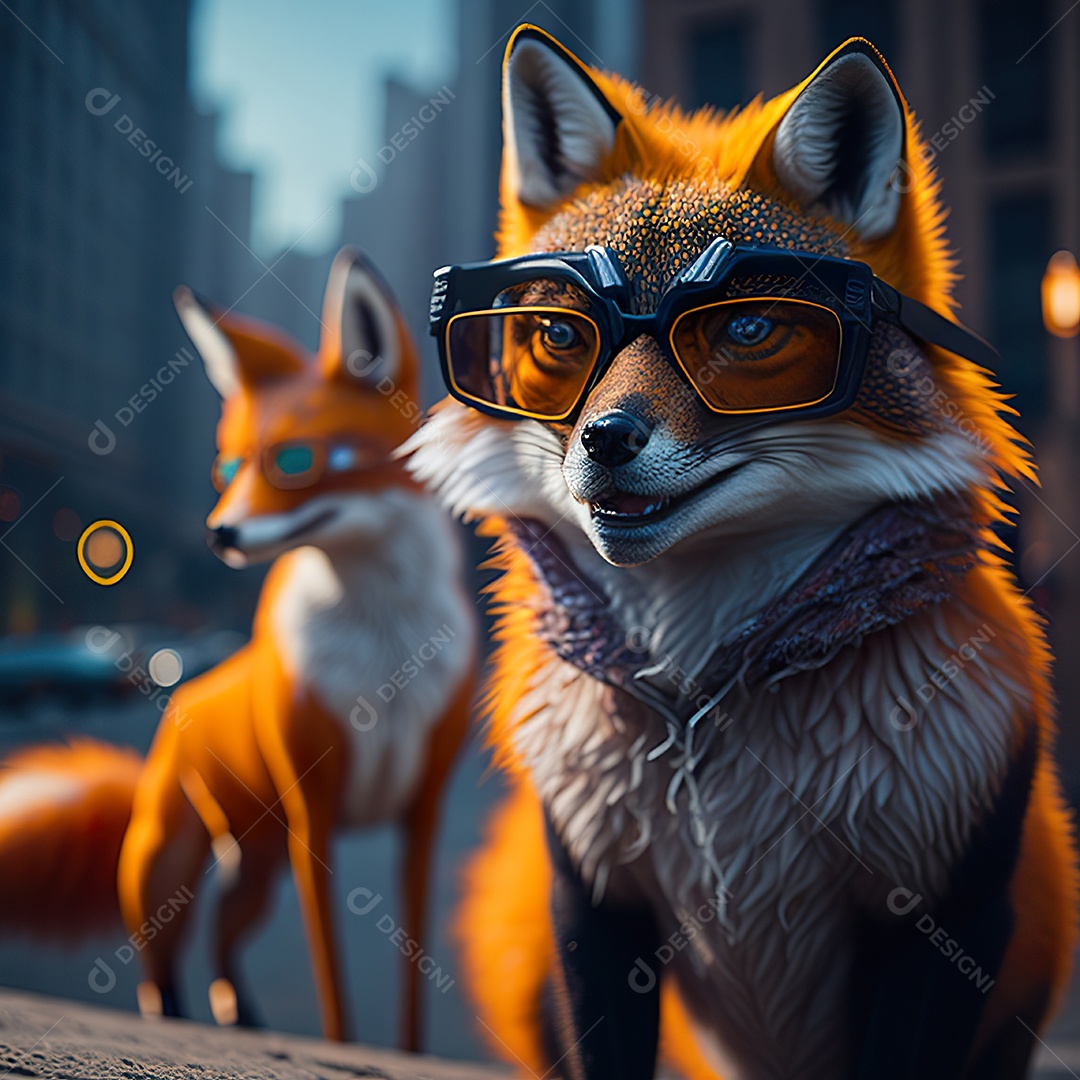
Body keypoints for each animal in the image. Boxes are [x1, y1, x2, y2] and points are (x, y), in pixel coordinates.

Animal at [0, 248, 477, 1050]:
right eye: (226, 469)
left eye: (293, 461)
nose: (219, 532)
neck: (381, 652)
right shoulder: (315, 811)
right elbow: (333, 987)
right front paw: (342, 1045)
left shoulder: (424, 811)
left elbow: (412, 988)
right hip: (165, 867)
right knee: (158, 968)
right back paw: (176, 1017)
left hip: (255, 870)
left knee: (224, 943)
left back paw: (242, 1019)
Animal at [404, 25, 1079, 1080]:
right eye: (560, 333)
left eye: (748, 328)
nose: (605, 440)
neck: (701, 704)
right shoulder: (593, 897)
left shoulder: (949, 910)